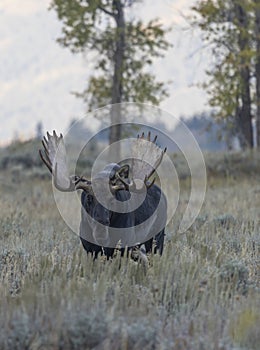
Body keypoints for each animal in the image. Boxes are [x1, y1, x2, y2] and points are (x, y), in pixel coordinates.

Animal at [39, 131, 168, 260]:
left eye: (112, 200)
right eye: (89, 198)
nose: (101, 232)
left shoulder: (123, 246)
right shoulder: (91, 249)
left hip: (157, 239)